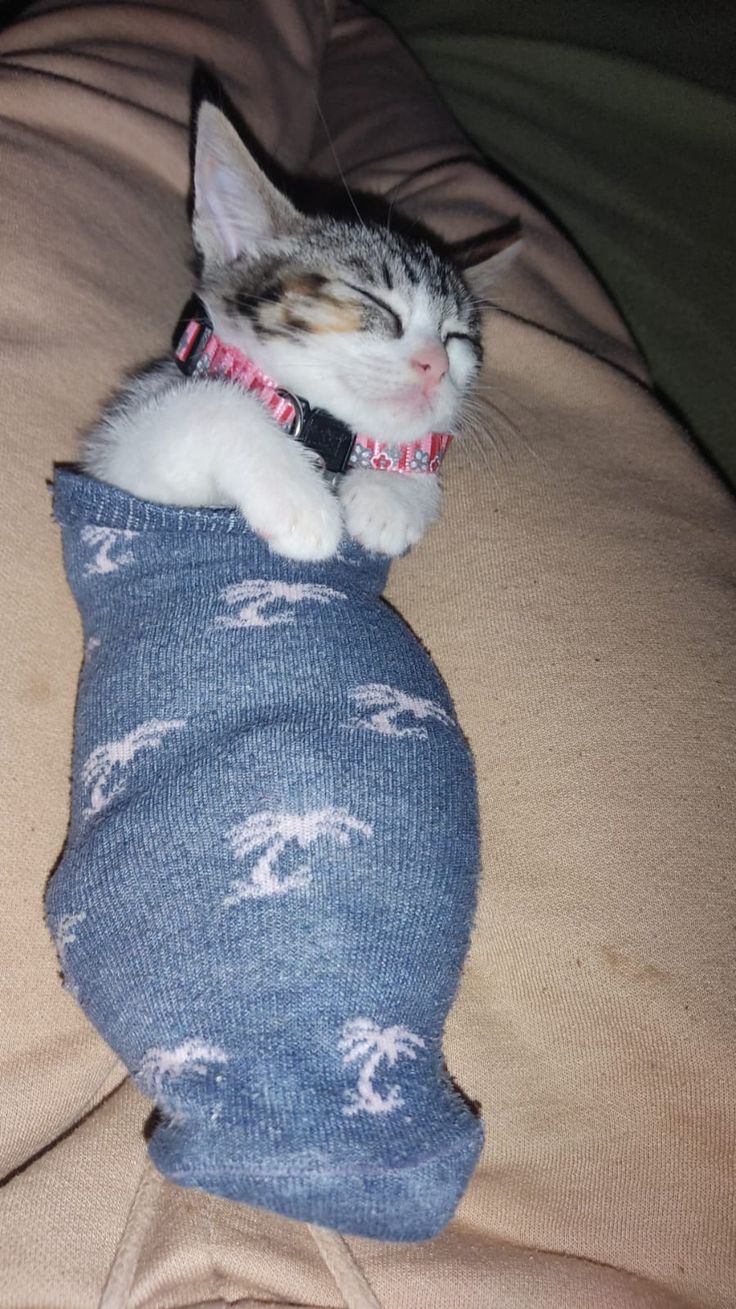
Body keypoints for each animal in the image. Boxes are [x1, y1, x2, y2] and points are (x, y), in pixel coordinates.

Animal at [84, 103, 481, 562]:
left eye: (458, 337)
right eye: (373, 299)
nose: (434, 363)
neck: (320, 434)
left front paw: (392, 491)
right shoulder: (118, 463)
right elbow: (208, 402)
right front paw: (299, 497)